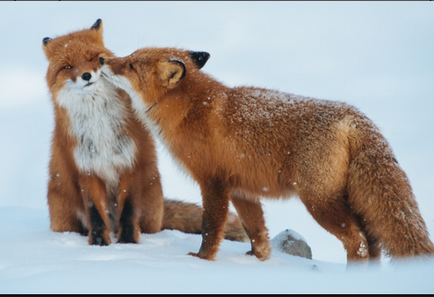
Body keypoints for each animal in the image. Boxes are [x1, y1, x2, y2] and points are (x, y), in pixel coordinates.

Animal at [42, 19, 249, 245]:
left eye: (92, 58)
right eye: (67, 66)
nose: (86, 75)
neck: (100, 125)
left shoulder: (132, 162)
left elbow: (128, 210)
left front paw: (128, 243)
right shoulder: (86, 169)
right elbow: (95, 213)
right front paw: (100, 245)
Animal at [100, 45, 434, 262]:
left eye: (130, 64)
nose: (103, 59)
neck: (192, 109)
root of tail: (353, 116)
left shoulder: (213, 182)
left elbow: (211, 228)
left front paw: (201, 260)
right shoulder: (242, 189)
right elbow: (255, 230)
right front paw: (258, 260)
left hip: (319, 201)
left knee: (359, 242)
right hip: (348, 200)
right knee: (373, 242)